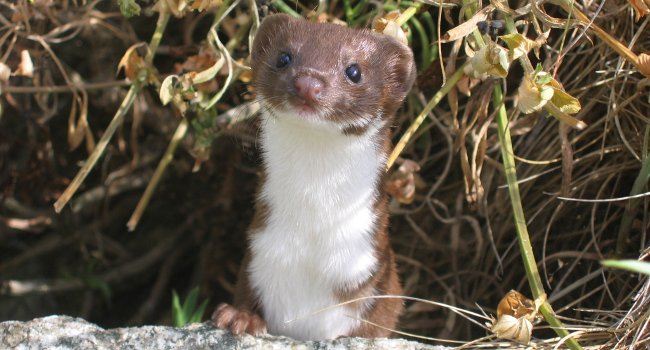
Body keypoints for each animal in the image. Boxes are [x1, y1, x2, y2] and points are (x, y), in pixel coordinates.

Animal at [213, 13, 416, 340]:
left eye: (354, 70)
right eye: (284, 57)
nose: (308, 83)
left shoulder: (377, 280)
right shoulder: (257, 254)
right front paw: (240, 317)